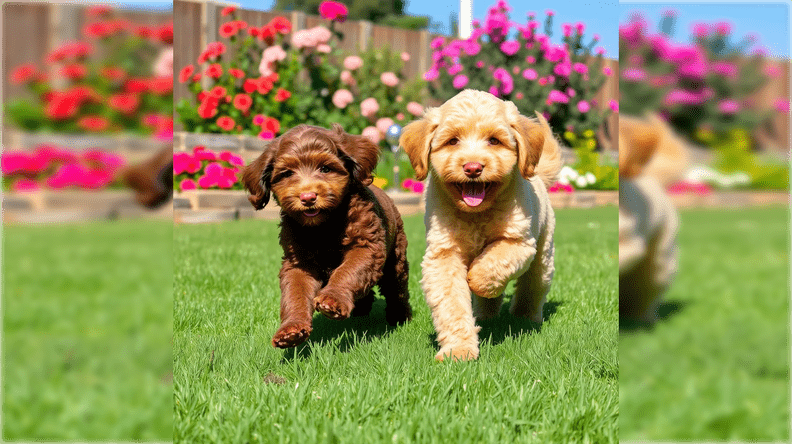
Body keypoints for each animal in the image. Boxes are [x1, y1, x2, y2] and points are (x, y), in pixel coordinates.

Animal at [241, 124, 414, 346]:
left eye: (325, 168)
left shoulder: (366, 245)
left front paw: (333, 299)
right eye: (287, 174)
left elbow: (348, 270)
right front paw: (291, 329)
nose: (307, 197)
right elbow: (295, 292)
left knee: (396, 288)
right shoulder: (299, 262)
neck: (323, 225)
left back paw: (399, 316)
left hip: (396, 256)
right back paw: (361, 309)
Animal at [402, 89, 564, 360]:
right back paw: (486, 315)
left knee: (533, 286)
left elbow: (492, 261)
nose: (473, 168)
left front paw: (476, 279)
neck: (476, 214)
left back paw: (525, 317)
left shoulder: (519, 242)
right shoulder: (442, 255)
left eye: (494, 141)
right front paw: (458, 350)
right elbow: (451, 304)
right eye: (452, 141)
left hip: (542, 256)